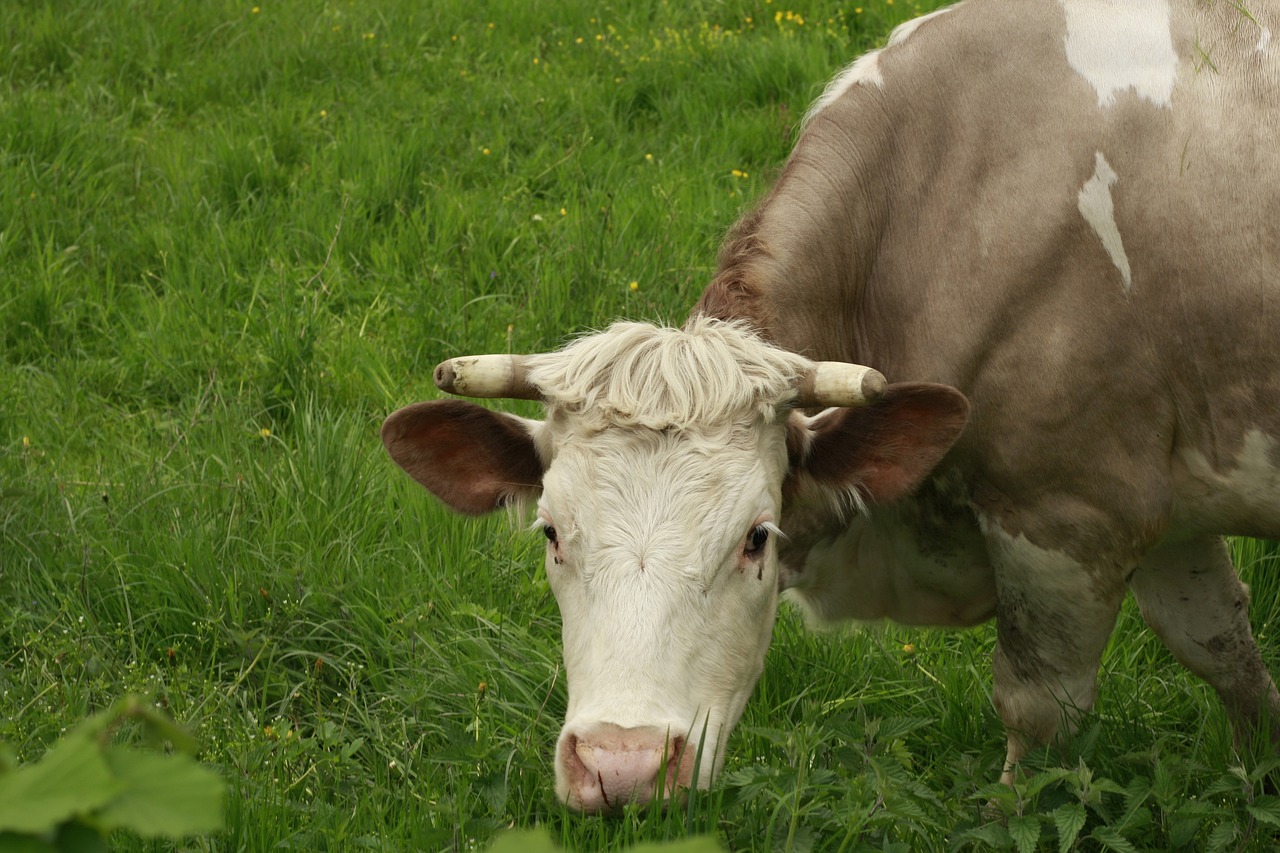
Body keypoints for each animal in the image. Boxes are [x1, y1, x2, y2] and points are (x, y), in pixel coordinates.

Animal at [381, 0, 1280, 809]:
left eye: (756, 538)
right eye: (551, 533)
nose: (623, 765)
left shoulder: (1065, 516)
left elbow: (1037, 714)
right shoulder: (1162, 505)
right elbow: (1221, 646)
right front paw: (1257, 775)